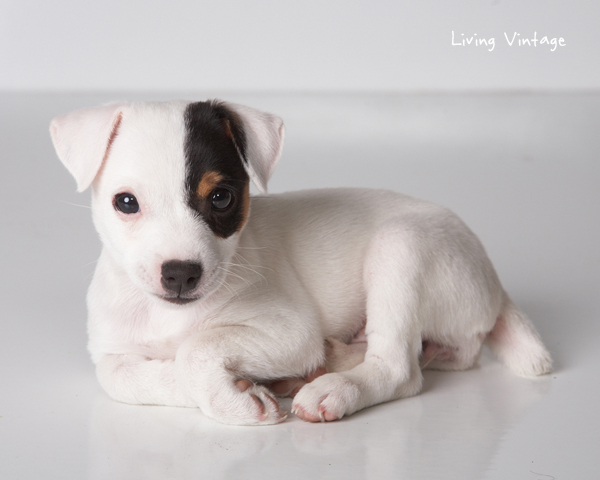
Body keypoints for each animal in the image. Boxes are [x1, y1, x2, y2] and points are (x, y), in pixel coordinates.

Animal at [51, 100, 552, 424]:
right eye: (126, 203)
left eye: (221, 197)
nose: (180, 274)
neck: (168, 315)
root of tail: (494, 282)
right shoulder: (112, 349)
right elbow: (121, 377)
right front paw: (240, 389)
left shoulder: (289, 330)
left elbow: (198, 347)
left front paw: (235, 400)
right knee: (446, 354)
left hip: (401, 247)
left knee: (401, 369)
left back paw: (335, 384)